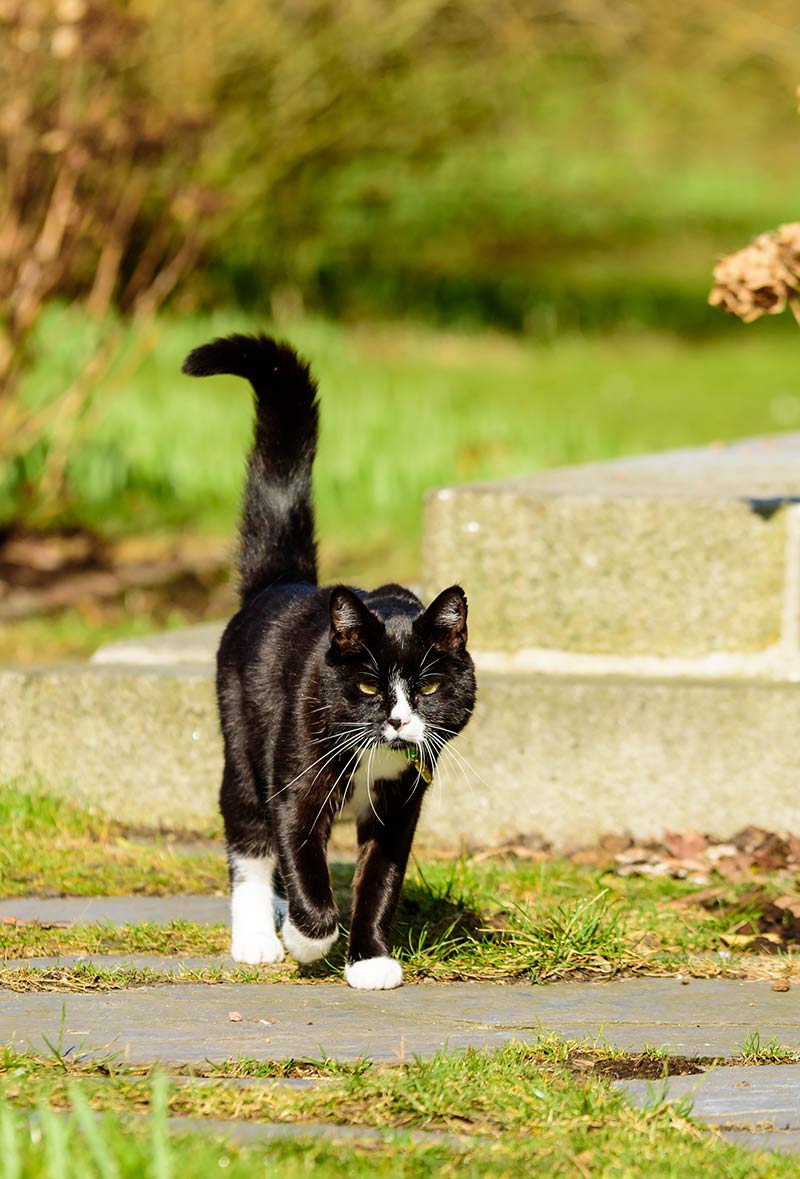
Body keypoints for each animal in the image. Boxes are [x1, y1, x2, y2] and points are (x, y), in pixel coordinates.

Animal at [181, 332, 475, 985]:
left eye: (428, 689)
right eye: (367, 688)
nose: (397, 721)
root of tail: (282, 582)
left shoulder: (400, 806)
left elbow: (379, 881)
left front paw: (369, 959)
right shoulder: (295, 785)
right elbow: (301, 859)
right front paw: (308, 938)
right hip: (242, 743)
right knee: (249, 839)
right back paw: (259, 935)